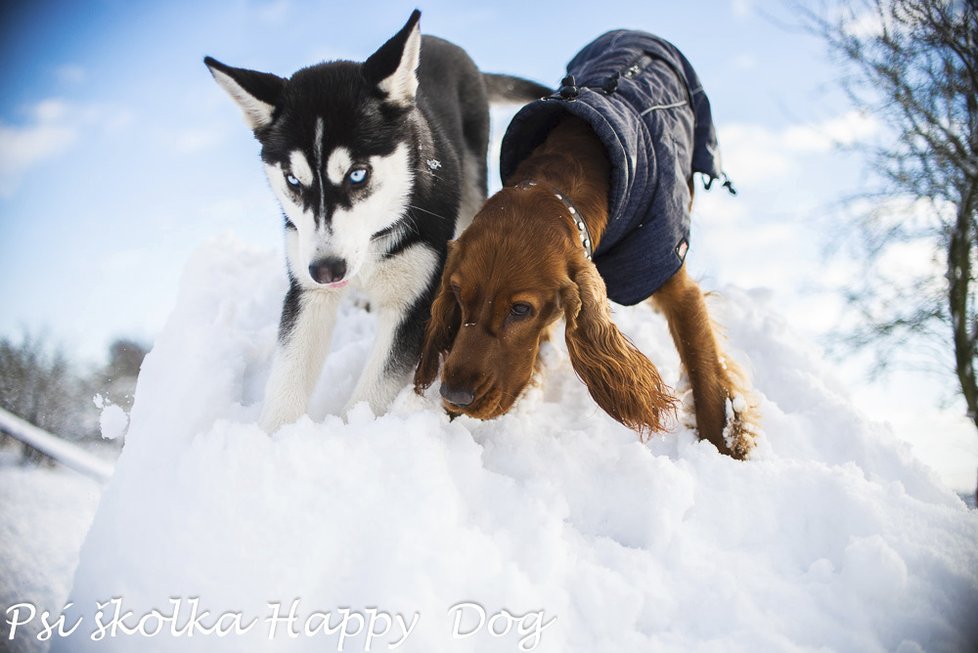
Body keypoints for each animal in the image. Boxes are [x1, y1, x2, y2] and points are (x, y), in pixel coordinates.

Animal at [204, 11, 548, 432]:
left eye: (357, 174)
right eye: (292, 181)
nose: (327, 269)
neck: (374, 241)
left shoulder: (414, 302)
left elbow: (373, 392)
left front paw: (353, 435)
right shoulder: (307, 290)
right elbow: (287, 376)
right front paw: (274, 438)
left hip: (472, 186)